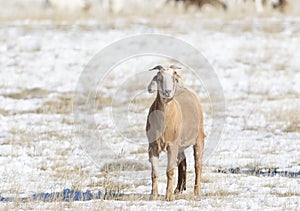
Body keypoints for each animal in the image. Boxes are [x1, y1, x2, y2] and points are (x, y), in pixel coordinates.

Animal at [145, 65, 204, 200]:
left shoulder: (172, 145)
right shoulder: (152, 147)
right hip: (180, 145)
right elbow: (154, 172)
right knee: (183, 162)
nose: (167, 92)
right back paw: (178, 189)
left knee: (198, 165)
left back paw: (197, 192)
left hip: (198, 138)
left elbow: (169, 171)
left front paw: (168, 196)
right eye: (159, 78)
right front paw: (153, 196)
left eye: (174, 78)